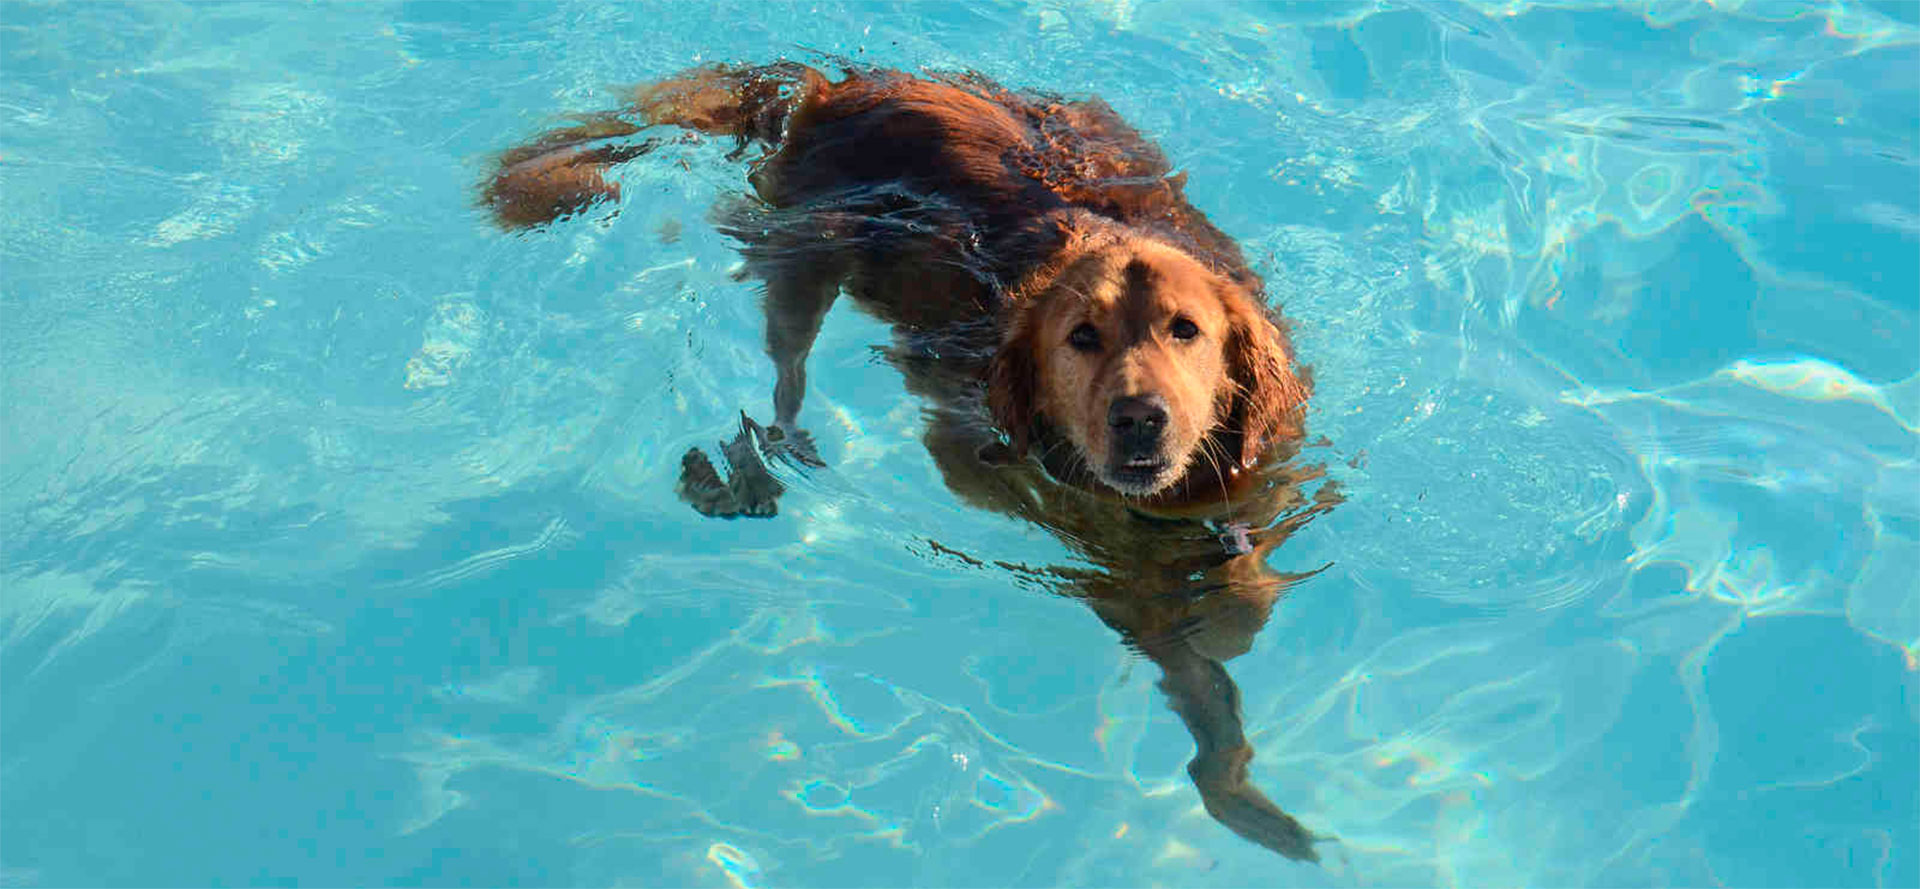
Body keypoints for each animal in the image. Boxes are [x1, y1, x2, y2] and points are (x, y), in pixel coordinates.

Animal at [487, 60, 1344, 864]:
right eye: (1081, 338)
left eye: (1185, 329)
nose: (1140, 420)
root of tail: (834, 88)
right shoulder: (1064, 530)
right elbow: (1180, 651)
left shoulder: (1268, 480)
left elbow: (1243, 592)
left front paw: (1231, 622)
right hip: (805, 251)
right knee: (783, 371)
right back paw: (753, 461)